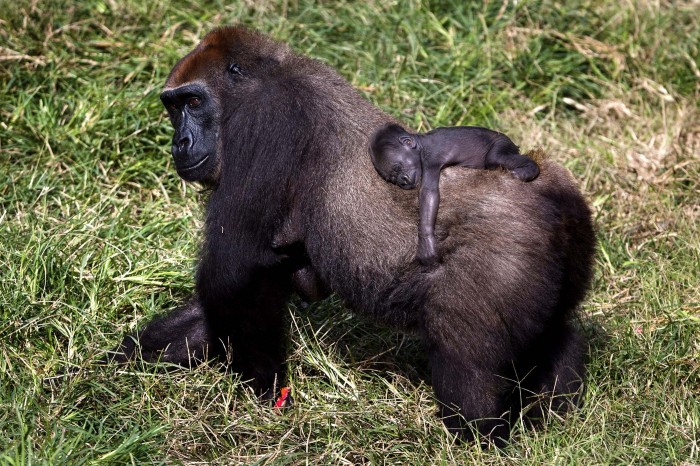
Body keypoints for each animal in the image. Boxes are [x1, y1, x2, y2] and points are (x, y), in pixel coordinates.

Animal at [370, 122, 540, 266]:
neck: (421, 143)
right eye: (392, 179)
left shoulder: (430, 159)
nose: (403, 181)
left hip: (502, 142)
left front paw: (426, 243)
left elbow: (428, 193)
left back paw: (528, 170)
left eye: (398, 168)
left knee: (495, 158)